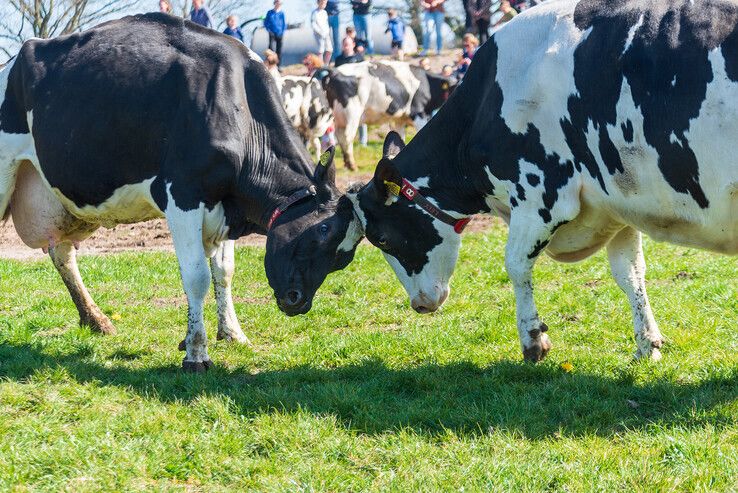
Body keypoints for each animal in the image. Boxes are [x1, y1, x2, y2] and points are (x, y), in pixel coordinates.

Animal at [0, 12, 360, 368]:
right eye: (322, 231)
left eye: (344, 257)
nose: (298, 301)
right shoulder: (184, 196)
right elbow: (197, 276)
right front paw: (196, 353)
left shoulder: (225, 203)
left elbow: (224, 272)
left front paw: (231, 333)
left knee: (61, 252)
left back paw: (96, 320)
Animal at [318, 60, 452, 169]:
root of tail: (335, 71)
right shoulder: (418, 113)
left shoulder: (400, 119)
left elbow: (400, 136)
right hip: (352, 112)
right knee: (347, 136)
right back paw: (351, 164)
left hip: (339, 115)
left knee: (339, 135)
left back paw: (347, 163)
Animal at [350, 0, 736, 362]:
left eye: (381, 238)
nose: (420, 305)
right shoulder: (620, 203)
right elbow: (629, 273)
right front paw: (647, 345)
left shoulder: (540, 195)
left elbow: (515, 264)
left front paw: (533, 340)